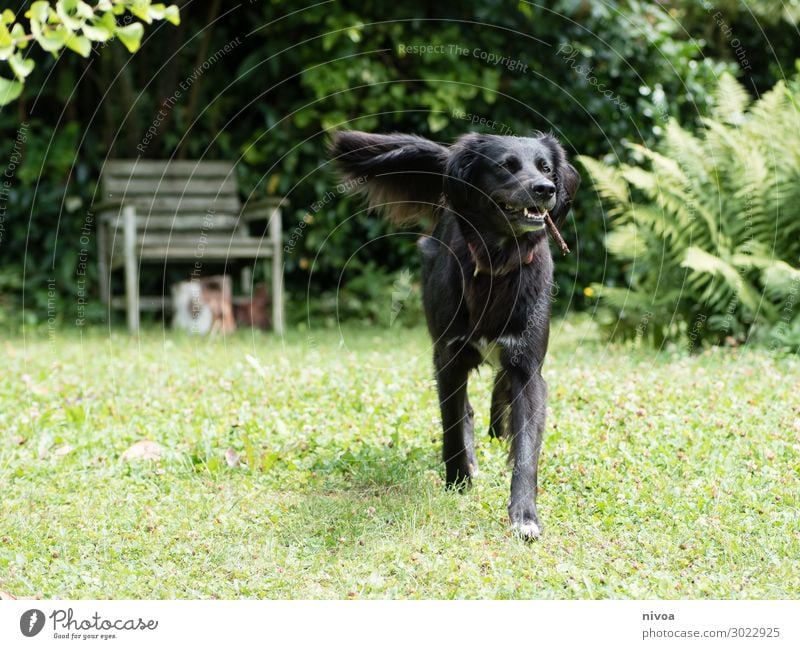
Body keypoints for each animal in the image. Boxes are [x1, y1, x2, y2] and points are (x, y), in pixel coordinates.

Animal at [332, 130, 580, 536]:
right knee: (465, 410)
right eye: (506, 166)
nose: (545, 189)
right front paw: (458, 481)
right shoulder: (448, 357)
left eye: (546, 168)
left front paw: (524, 515)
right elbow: (451, 424)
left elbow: (527, 446)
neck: (498, 262)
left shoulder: (527, 365)